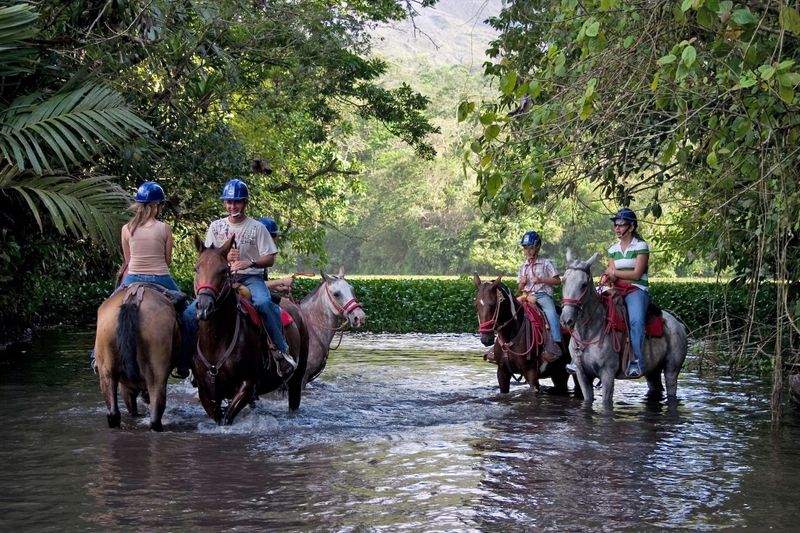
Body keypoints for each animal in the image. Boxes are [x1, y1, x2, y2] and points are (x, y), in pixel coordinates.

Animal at [191, 236, 310, 424]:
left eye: (223, 270)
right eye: (197, 268)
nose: (204, 307)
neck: (217, 342)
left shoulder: (247, 385)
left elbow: (227, 420)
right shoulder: (205, 390)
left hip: (297, 378)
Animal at [556, 254, 688, 404]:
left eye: (584, 284)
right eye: (563, 281)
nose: (566, 319)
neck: (591, 331)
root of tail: (678, 325)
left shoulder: (607, 373)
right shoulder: (581, 374)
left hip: (672, 369)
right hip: (652, 371)